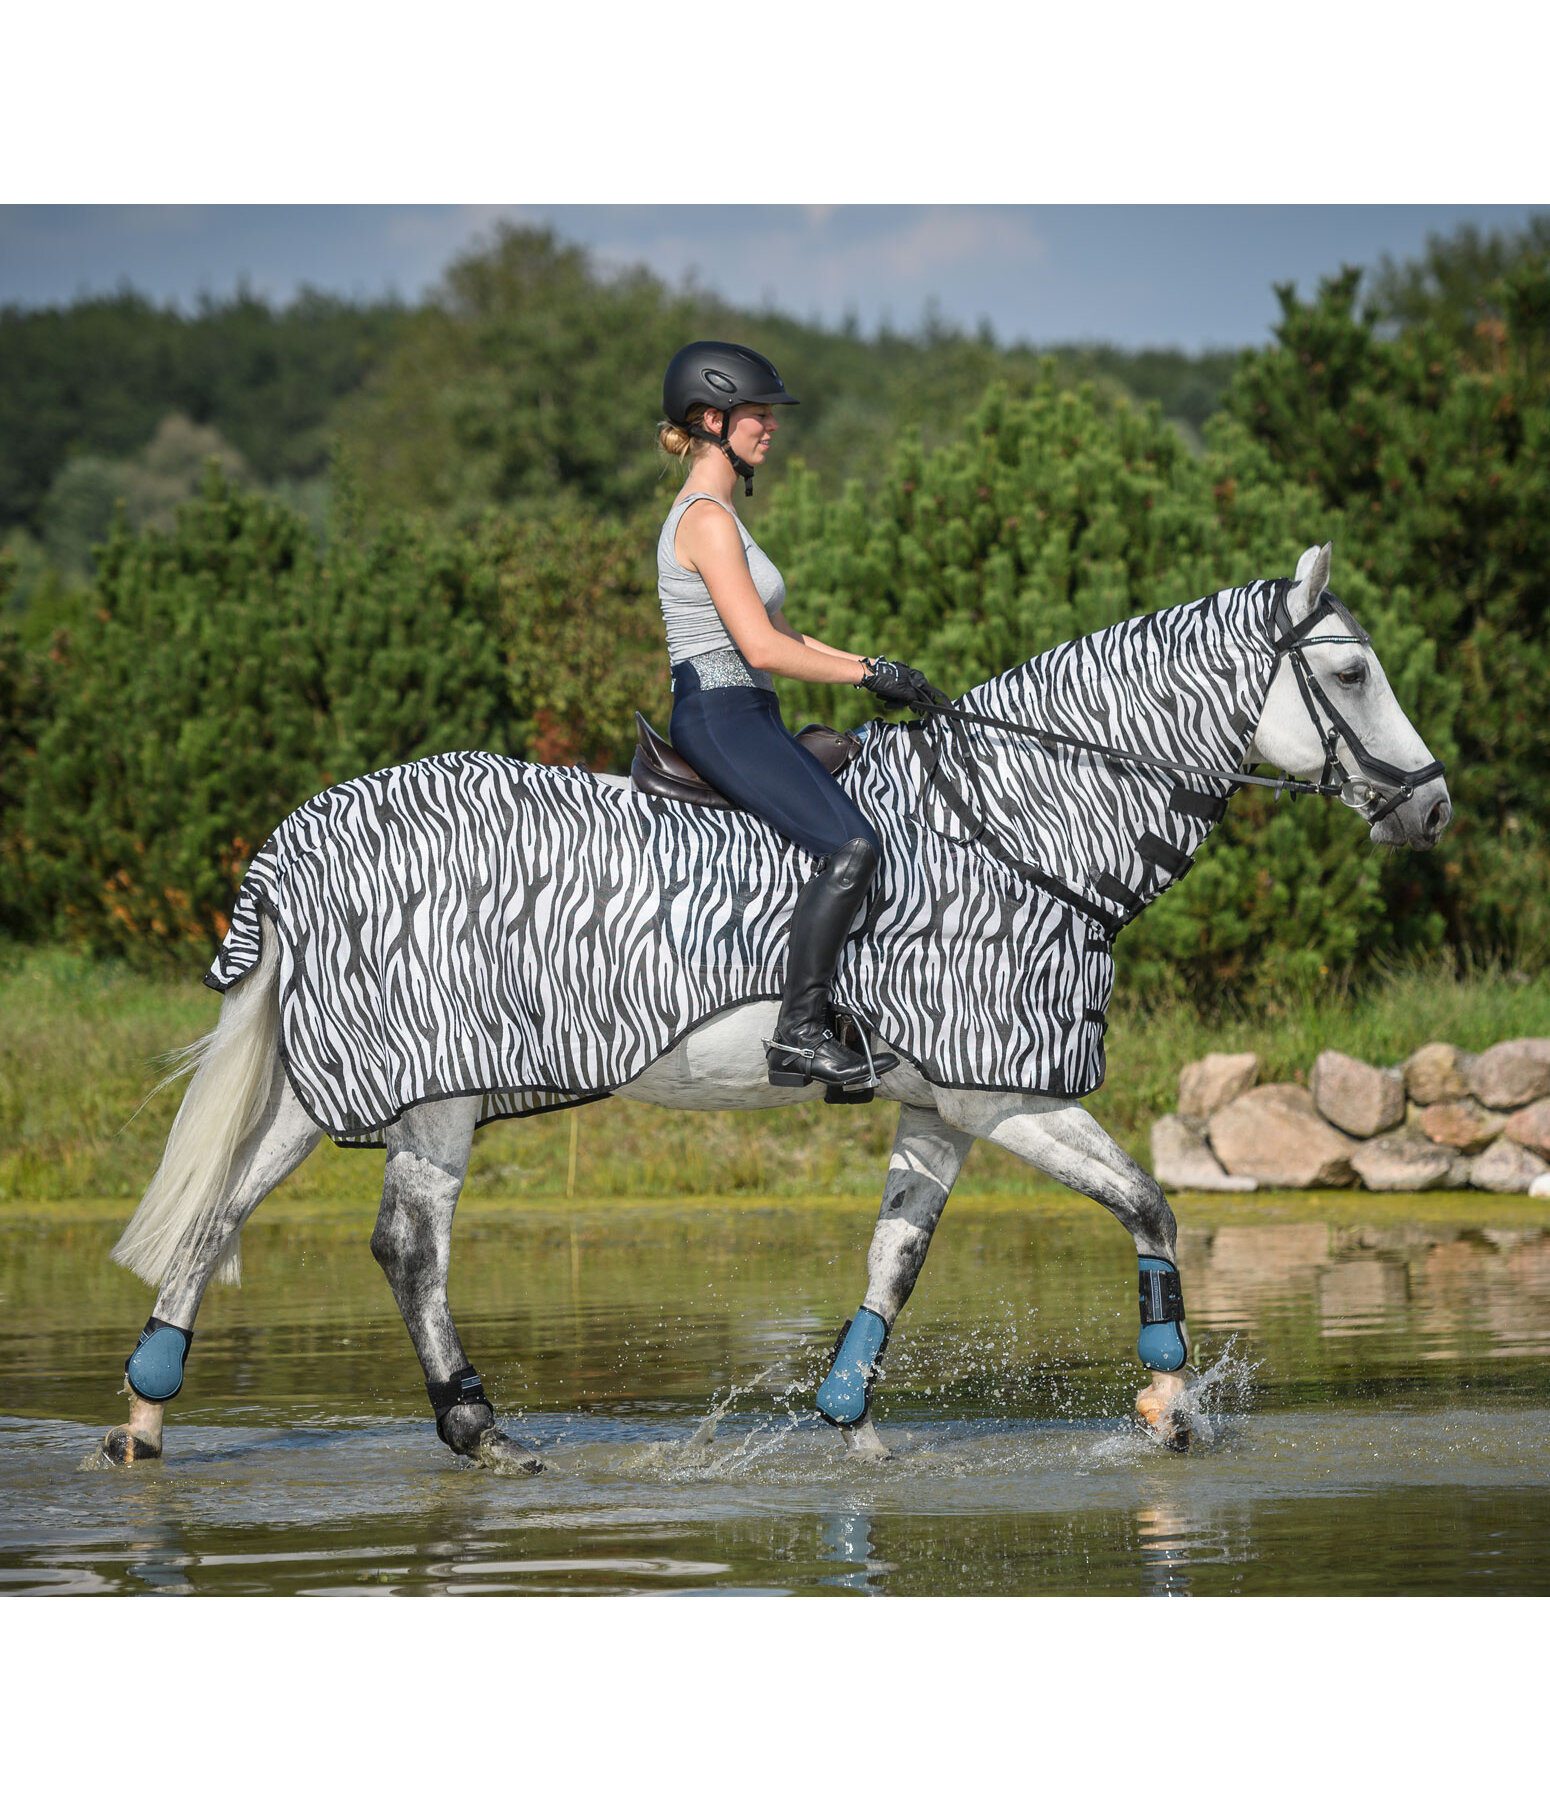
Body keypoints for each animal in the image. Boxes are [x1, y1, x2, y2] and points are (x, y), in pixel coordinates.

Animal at [99, 543, 1454, 1461]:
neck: (1017, 824)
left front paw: (848, 1419)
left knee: (218, 1212)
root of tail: (302, 837)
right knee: (406, 1248)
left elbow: (895, 1256)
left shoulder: (940, 1107)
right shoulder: (1001, 1090)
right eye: (1348, 669)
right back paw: (477, 1428)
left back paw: (144, 1419)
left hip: (338, 1079)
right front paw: (1167, 1404)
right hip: (431, 1088)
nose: (1431, 808)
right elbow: (1149, 1205)